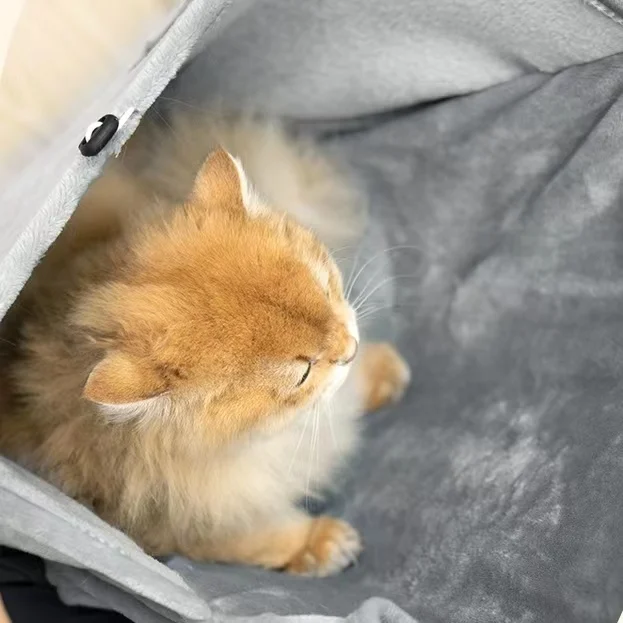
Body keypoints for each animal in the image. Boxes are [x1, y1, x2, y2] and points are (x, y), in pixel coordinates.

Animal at [0, 112, 410, 576]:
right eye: (304, 371)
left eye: (326, 288)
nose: (351, 349)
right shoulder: (182, 521)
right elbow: (254, 540)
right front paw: (318, 543)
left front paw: (377, 372)